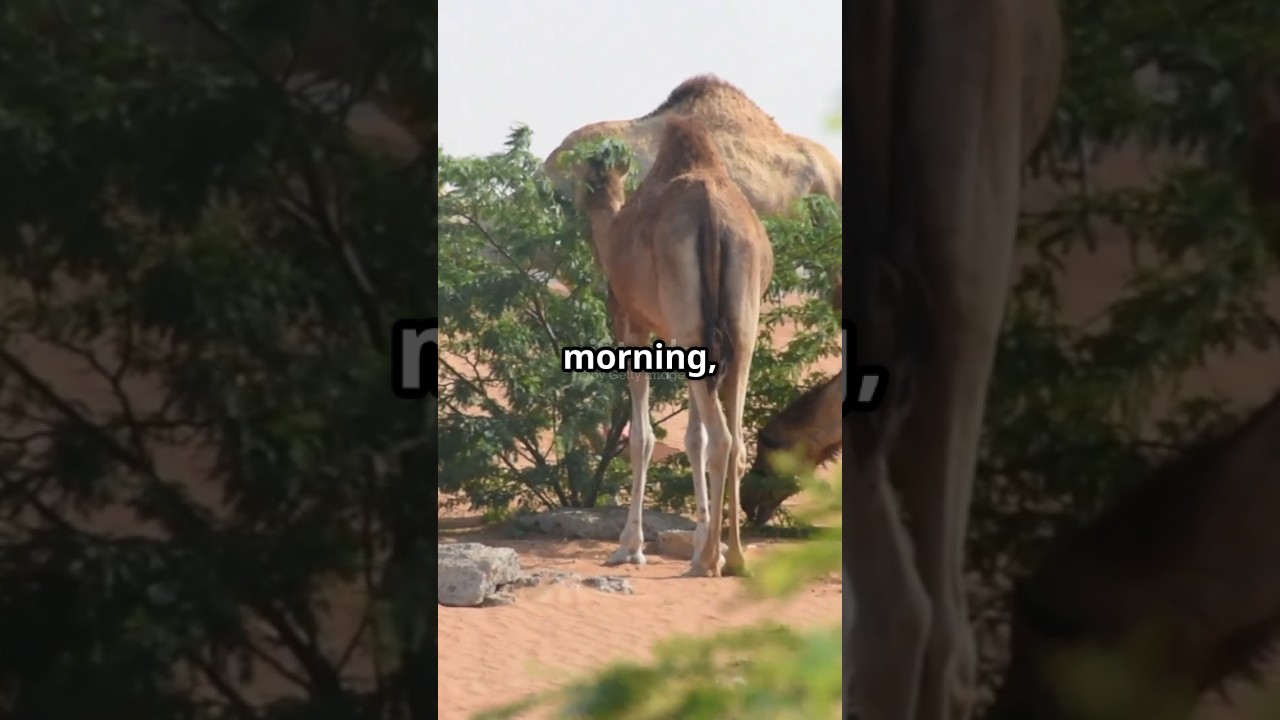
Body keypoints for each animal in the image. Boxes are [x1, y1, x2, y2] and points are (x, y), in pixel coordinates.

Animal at [574, 115, 773, 577]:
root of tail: (714, 218)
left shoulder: (633, 326)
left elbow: (642, 438)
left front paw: (629, 546)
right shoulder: (688, 341)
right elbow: (691, 438)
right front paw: (700, 539)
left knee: (722, 440)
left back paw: (710, 561)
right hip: (739, 328)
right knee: (734, 440)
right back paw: (733, 556)